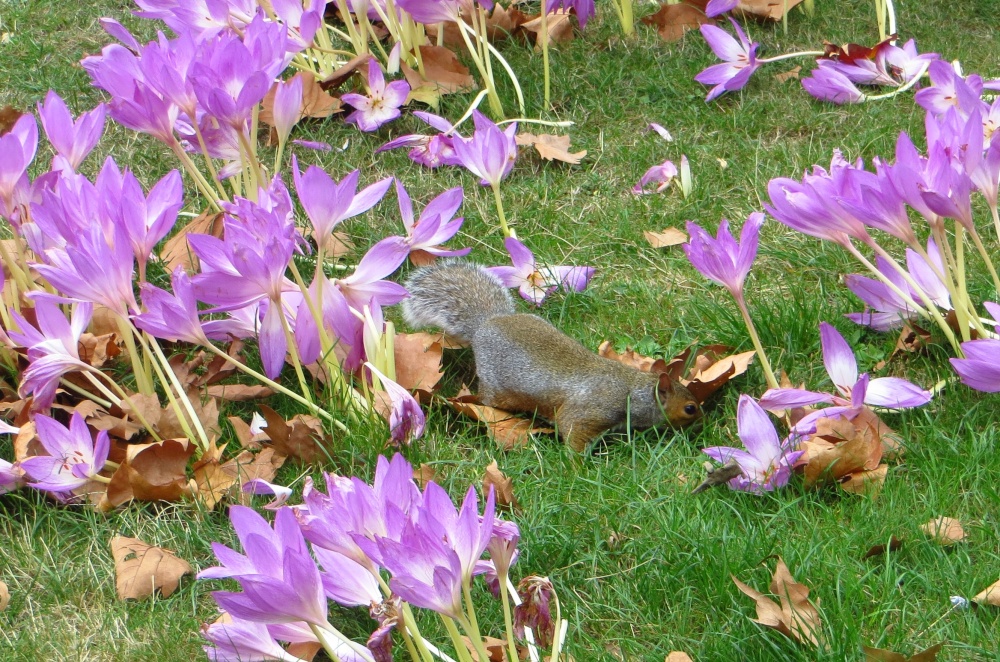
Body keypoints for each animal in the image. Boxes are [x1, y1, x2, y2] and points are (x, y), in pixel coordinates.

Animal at [402, 262, 702, 451]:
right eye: (690, 408)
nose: (702, 423)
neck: (633, 389)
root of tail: (487, 323)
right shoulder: (590, 411)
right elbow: (573, 431)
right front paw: (579, 467)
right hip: (496, 388)